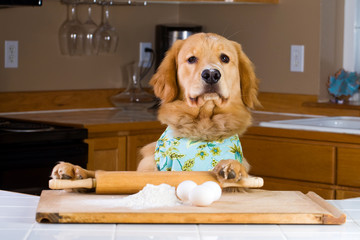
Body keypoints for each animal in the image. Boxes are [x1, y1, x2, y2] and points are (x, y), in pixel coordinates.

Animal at [50, 31, 258, 186]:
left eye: (225, 58)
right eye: (191, 59)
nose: (212, 75)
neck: (201, 128)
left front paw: (230, 167)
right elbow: (106, 173)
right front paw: (74, 170)